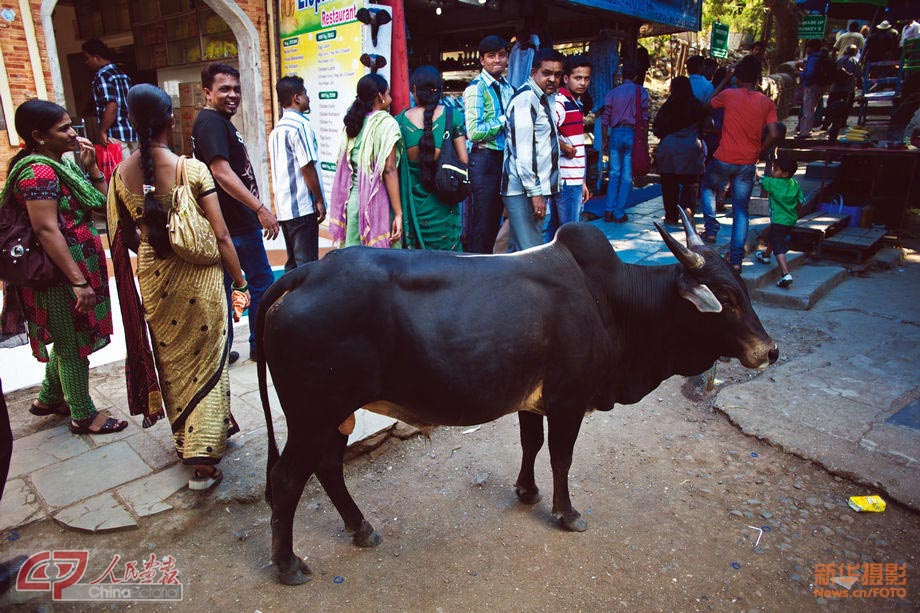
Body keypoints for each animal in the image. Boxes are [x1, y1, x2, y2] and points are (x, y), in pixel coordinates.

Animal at [256, 213, 776, 584]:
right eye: (726, 297)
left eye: (743, 289)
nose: (769, 350)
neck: (612, 300)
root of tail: (304, 273)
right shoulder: (569, 400)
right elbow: (562, 458)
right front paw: (567, 513)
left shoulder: (533, 401)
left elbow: (532, 445)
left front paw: (527, 492)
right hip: (313, 414)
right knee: (287, 479)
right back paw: (288, 565)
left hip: (334, 414)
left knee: (327, 467)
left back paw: (361, 529)